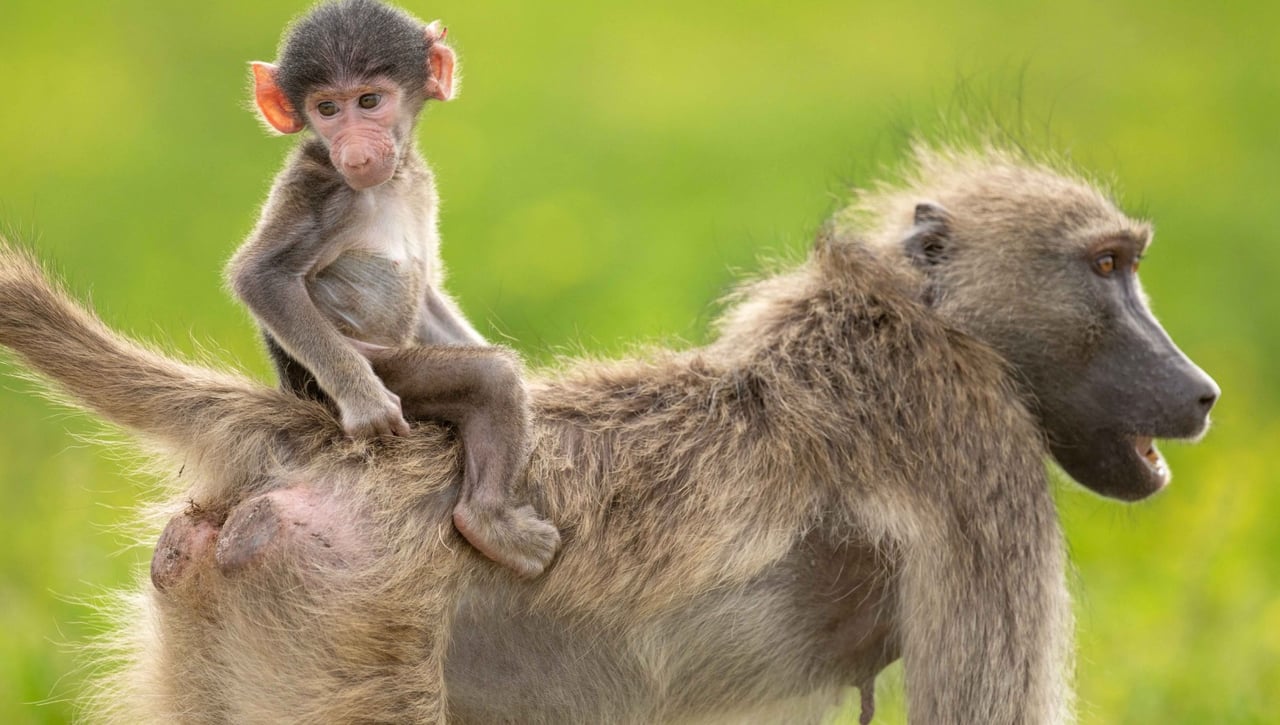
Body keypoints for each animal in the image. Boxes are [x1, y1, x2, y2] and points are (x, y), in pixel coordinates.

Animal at [0, 146, 1217, 723]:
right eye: (1107, 267)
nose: (1200, 390)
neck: (914, 322)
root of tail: (329, 435)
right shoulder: (977, 460)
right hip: (349, 618)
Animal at [228, 0, 559, 578]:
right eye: (327, 109)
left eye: (369, 101)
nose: (356, 152)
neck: (388, 183)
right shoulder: (321, 189)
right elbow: (260, 275)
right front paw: (366, 403)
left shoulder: (419, 183)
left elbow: (425, 292)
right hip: (366, 369)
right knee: (489, 379)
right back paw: (488, 522)